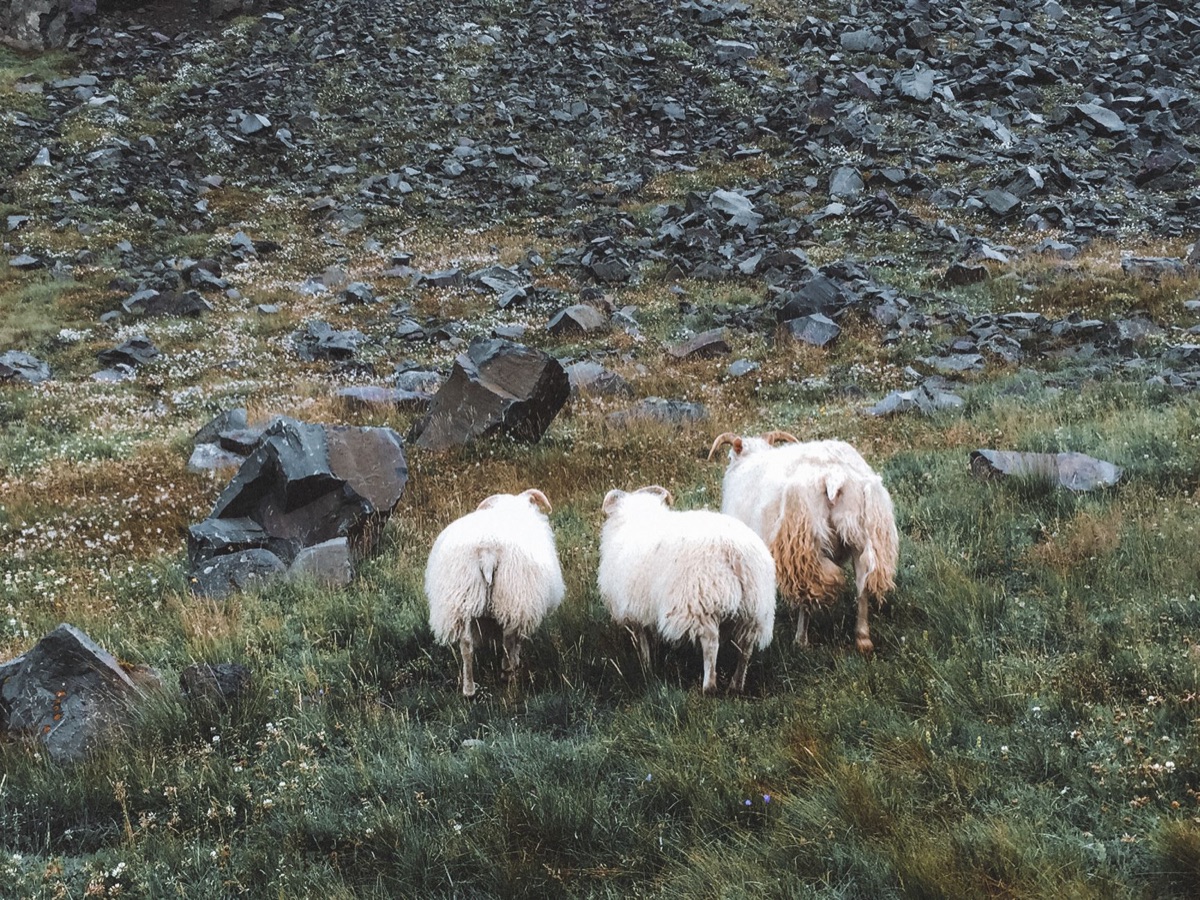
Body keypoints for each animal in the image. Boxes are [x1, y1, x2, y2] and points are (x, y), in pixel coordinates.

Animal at [425, 488, 565, 697]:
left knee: (466, 645)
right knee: (508, 638)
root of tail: (487, 550)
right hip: (512, 596)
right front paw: (515, 662)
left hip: (461, 599)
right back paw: (507, 671)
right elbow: (517, 639)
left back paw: (469, 689)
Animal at [598, 485, 776, 694]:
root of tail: (736, 551)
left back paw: (709, 686)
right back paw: (736, 684)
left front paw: (646, 669)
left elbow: (642, 642)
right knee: (746, 647)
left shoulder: (635, 609)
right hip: (755, 609)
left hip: (700, 602)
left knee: (711, 643)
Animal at [708, 431, 899, 655]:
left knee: (812, 587)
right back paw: (862, 638)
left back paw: (801, 639)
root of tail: (834, 475)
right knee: (862, 587)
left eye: (729, 457)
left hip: (803, 540)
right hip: (861, 536)